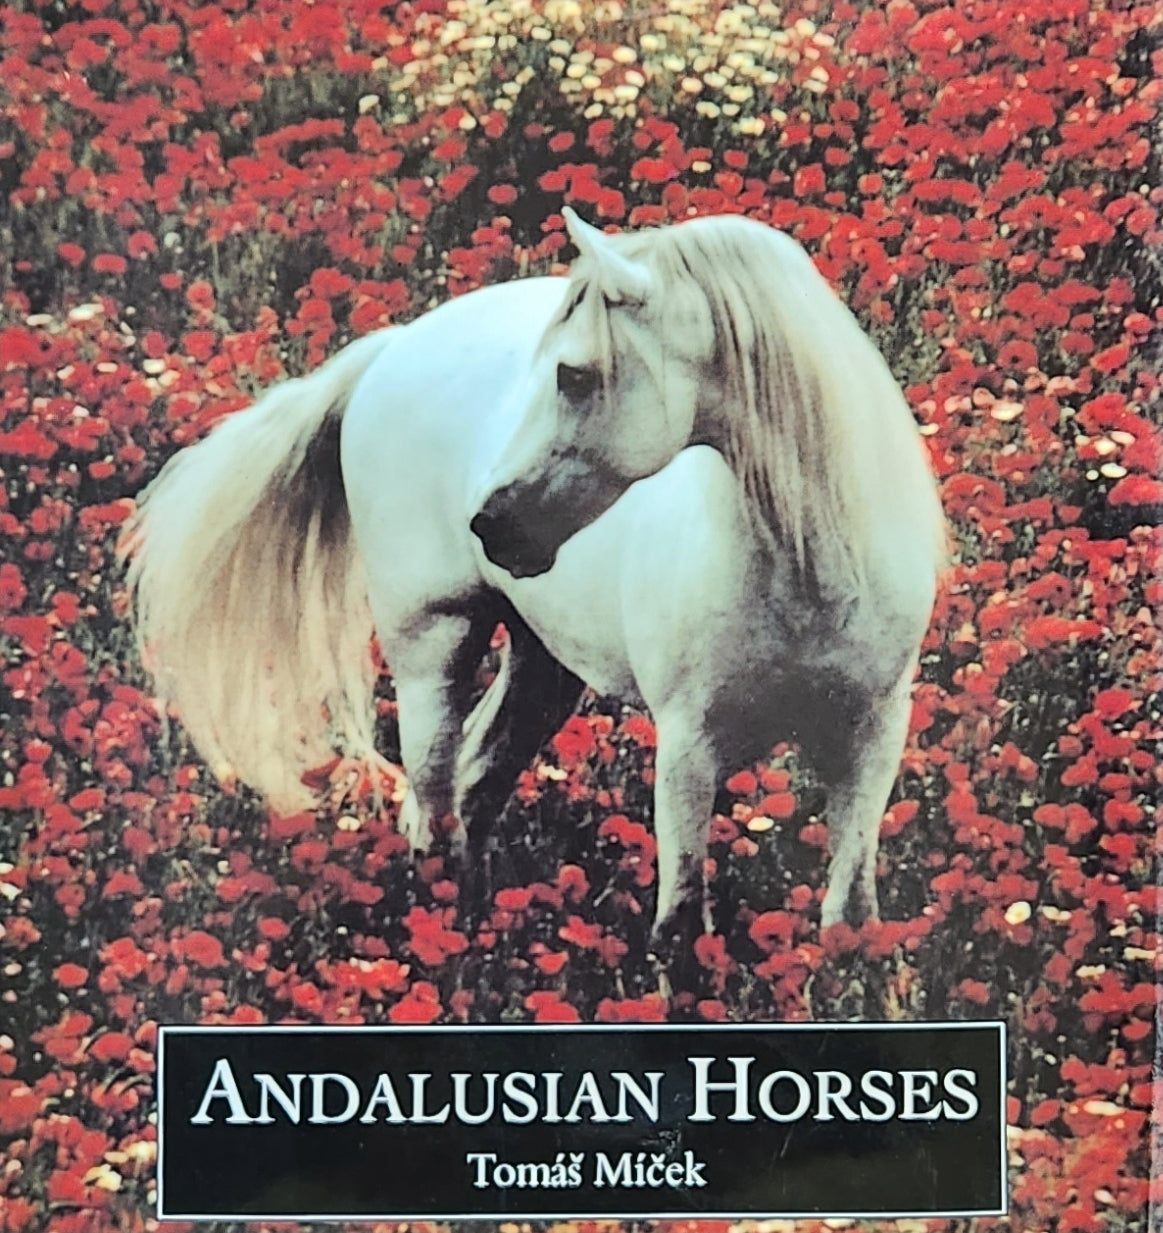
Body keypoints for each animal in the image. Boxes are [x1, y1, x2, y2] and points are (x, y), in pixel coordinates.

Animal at [124, 209, 946, 944]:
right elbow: (680, 928)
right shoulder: (689, 746)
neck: (807, 572)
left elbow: (849, 918)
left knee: (474, 787)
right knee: (433, 805)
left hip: (541, 663)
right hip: (433, 646)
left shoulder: (873, 737)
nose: (491, 525)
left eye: (572, 374)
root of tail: (391, 349)